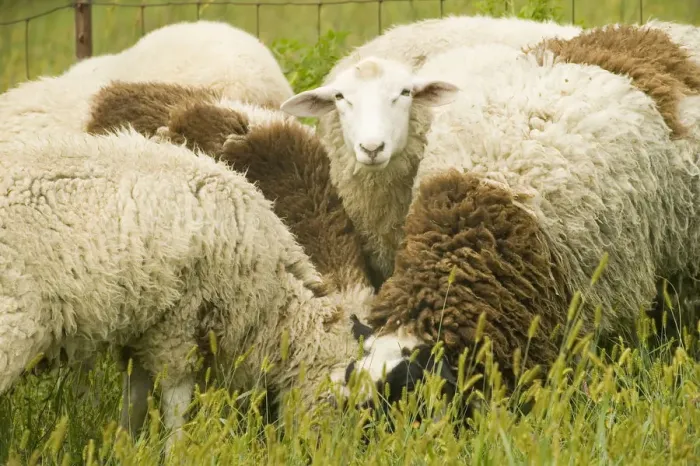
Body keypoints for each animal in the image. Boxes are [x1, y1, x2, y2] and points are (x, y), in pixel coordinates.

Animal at [0, 128, 365, 452]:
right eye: (345, 403)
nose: (326, 450)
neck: (271, 303)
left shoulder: (143, 328)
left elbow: (135, 399)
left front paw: (123, 447)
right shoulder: (179, 322)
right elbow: (176, 400)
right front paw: (175, 449)